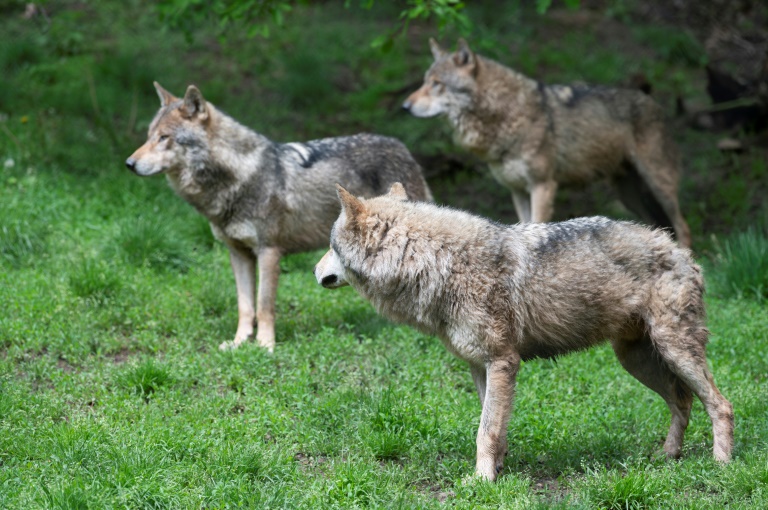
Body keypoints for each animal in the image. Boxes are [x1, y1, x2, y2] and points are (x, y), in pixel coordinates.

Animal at [126, 83, 432, 352]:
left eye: (164, 138)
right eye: (149, 135)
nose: (129, 163)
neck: (238, 180)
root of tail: (401, 146)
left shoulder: (269, 251)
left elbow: (263, 306)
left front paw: (265, 346)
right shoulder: (238, 253)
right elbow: (245, 306)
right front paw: (239, 343)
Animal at [316, 184, 736, 482]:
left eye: (330, 246)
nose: (315, 271)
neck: (435, 262)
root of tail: (682, 251)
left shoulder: (503, 362)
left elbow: (485, 430)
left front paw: (480, 482)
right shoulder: (480, 367)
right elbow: (494, 428)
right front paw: (497, 471)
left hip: (674, 352)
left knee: (721, 404)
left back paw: (721, 463)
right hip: (635, 360)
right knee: (682, 402)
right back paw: (668, 457)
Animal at [404, 37, 692, 247]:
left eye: (437, 84)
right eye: (424, 82)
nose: (405, 106)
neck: (506, 115)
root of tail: (655, 104)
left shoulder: (542, 186)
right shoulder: (517, 191)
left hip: (660, 186)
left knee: (683, 227)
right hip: (630, 196)